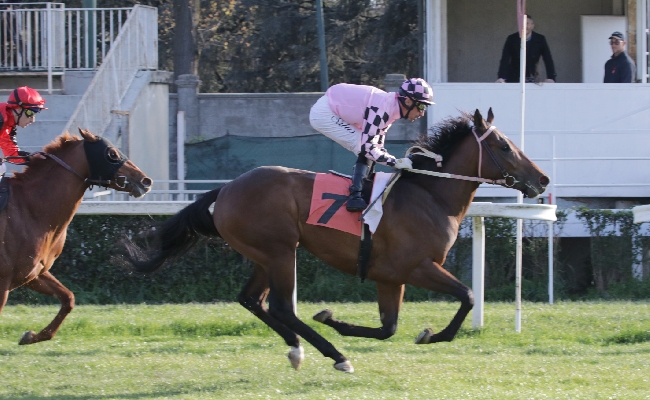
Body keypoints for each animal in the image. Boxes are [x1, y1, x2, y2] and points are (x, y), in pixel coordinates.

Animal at [0, 128, 151, 344]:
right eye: (112, 154)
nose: (145, 181)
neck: (29, 209)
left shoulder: (33, 273)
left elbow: (68, 299)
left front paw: (31, 336)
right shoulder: (3, 282)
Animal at [121, 108, 548, 372]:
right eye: (505, 146)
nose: (542, 180)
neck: (430, 196)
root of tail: (225, 190)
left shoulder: (389, 277)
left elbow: (388, 328)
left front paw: (336, 320)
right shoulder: (417, 267)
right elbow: (467, 296)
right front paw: (434, 335)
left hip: (263, 254)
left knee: (252, 300)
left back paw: (297, 348)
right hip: (280, 251)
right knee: (280, 305)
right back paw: (335, 355)